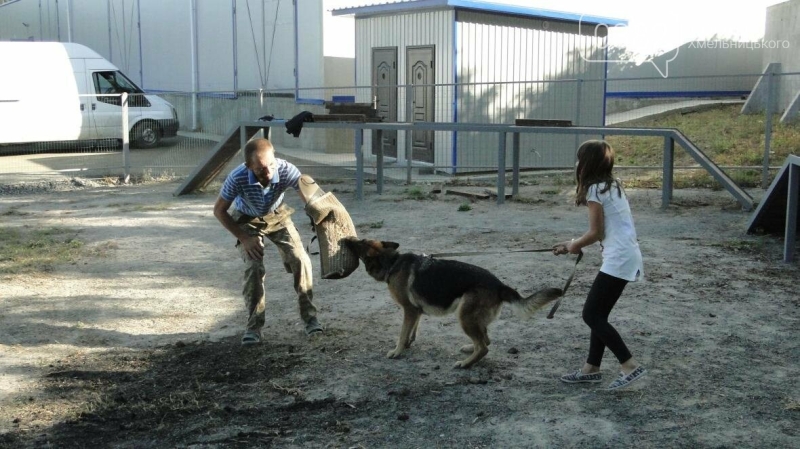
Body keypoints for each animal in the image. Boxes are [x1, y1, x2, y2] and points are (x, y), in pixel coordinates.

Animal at [344, 238, 564, 368]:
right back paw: (469, 349)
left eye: (359, 241)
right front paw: (407, 345)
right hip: (473, 318)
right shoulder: (415, 312)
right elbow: (411, 331)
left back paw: (465, 364)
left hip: (464, 315)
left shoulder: (408, 310)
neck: (392, 263)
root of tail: (500, 285)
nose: (346, 239)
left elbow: (401, 333)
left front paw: (397, 351)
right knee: (485, 340)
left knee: (484, 347)